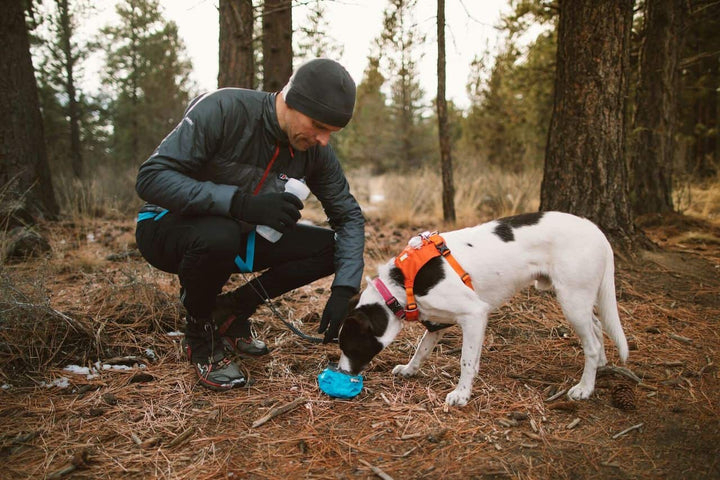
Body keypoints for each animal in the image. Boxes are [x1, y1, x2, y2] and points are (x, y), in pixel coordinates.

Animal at [338, 212, 624, 406]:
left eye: (351, 346)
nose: (342, 373)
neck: (403, 285)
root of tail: (597, 232)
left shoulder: (474, 315)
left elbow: (465, 361)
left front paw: (461, 394)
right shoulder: (437, 322)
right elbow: (422, 350)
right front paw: (410, 370)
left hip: (572, 299)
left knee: (591, 344)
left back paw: (585, 387)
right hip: (579, 300)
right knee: (597, 327)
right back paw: (601, 365)